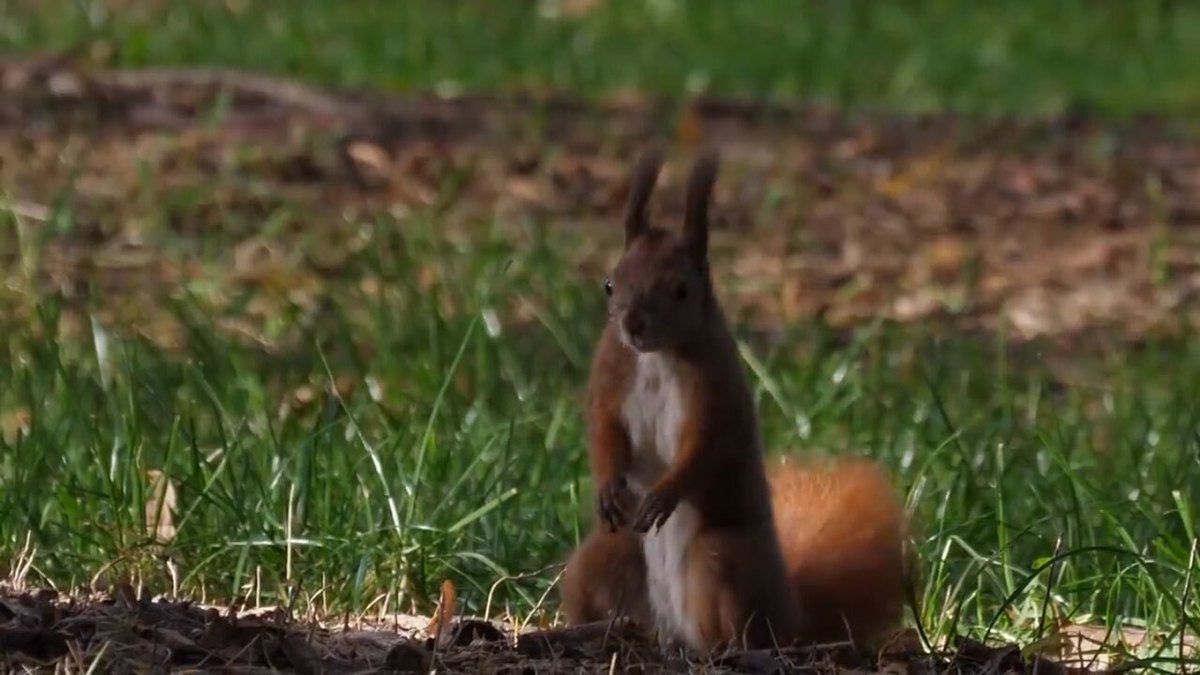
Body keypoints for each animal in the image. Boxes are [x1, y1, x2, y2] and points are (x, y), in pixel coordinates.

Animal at [556, 147, 912, 653]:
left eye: (681, 289)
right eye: (610, 283)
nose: (633, 325)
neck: (656, 357)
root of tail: (792, 615)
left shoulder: (716, 392)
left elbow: (705, 445)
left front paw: (665, 492)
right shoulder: (610, 375)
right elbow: (604, 429)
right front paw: (607, 487)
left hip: (719, 556)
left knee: (738, 626)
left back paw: (725, 647)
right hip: (607, 552)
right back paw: (601, 628)